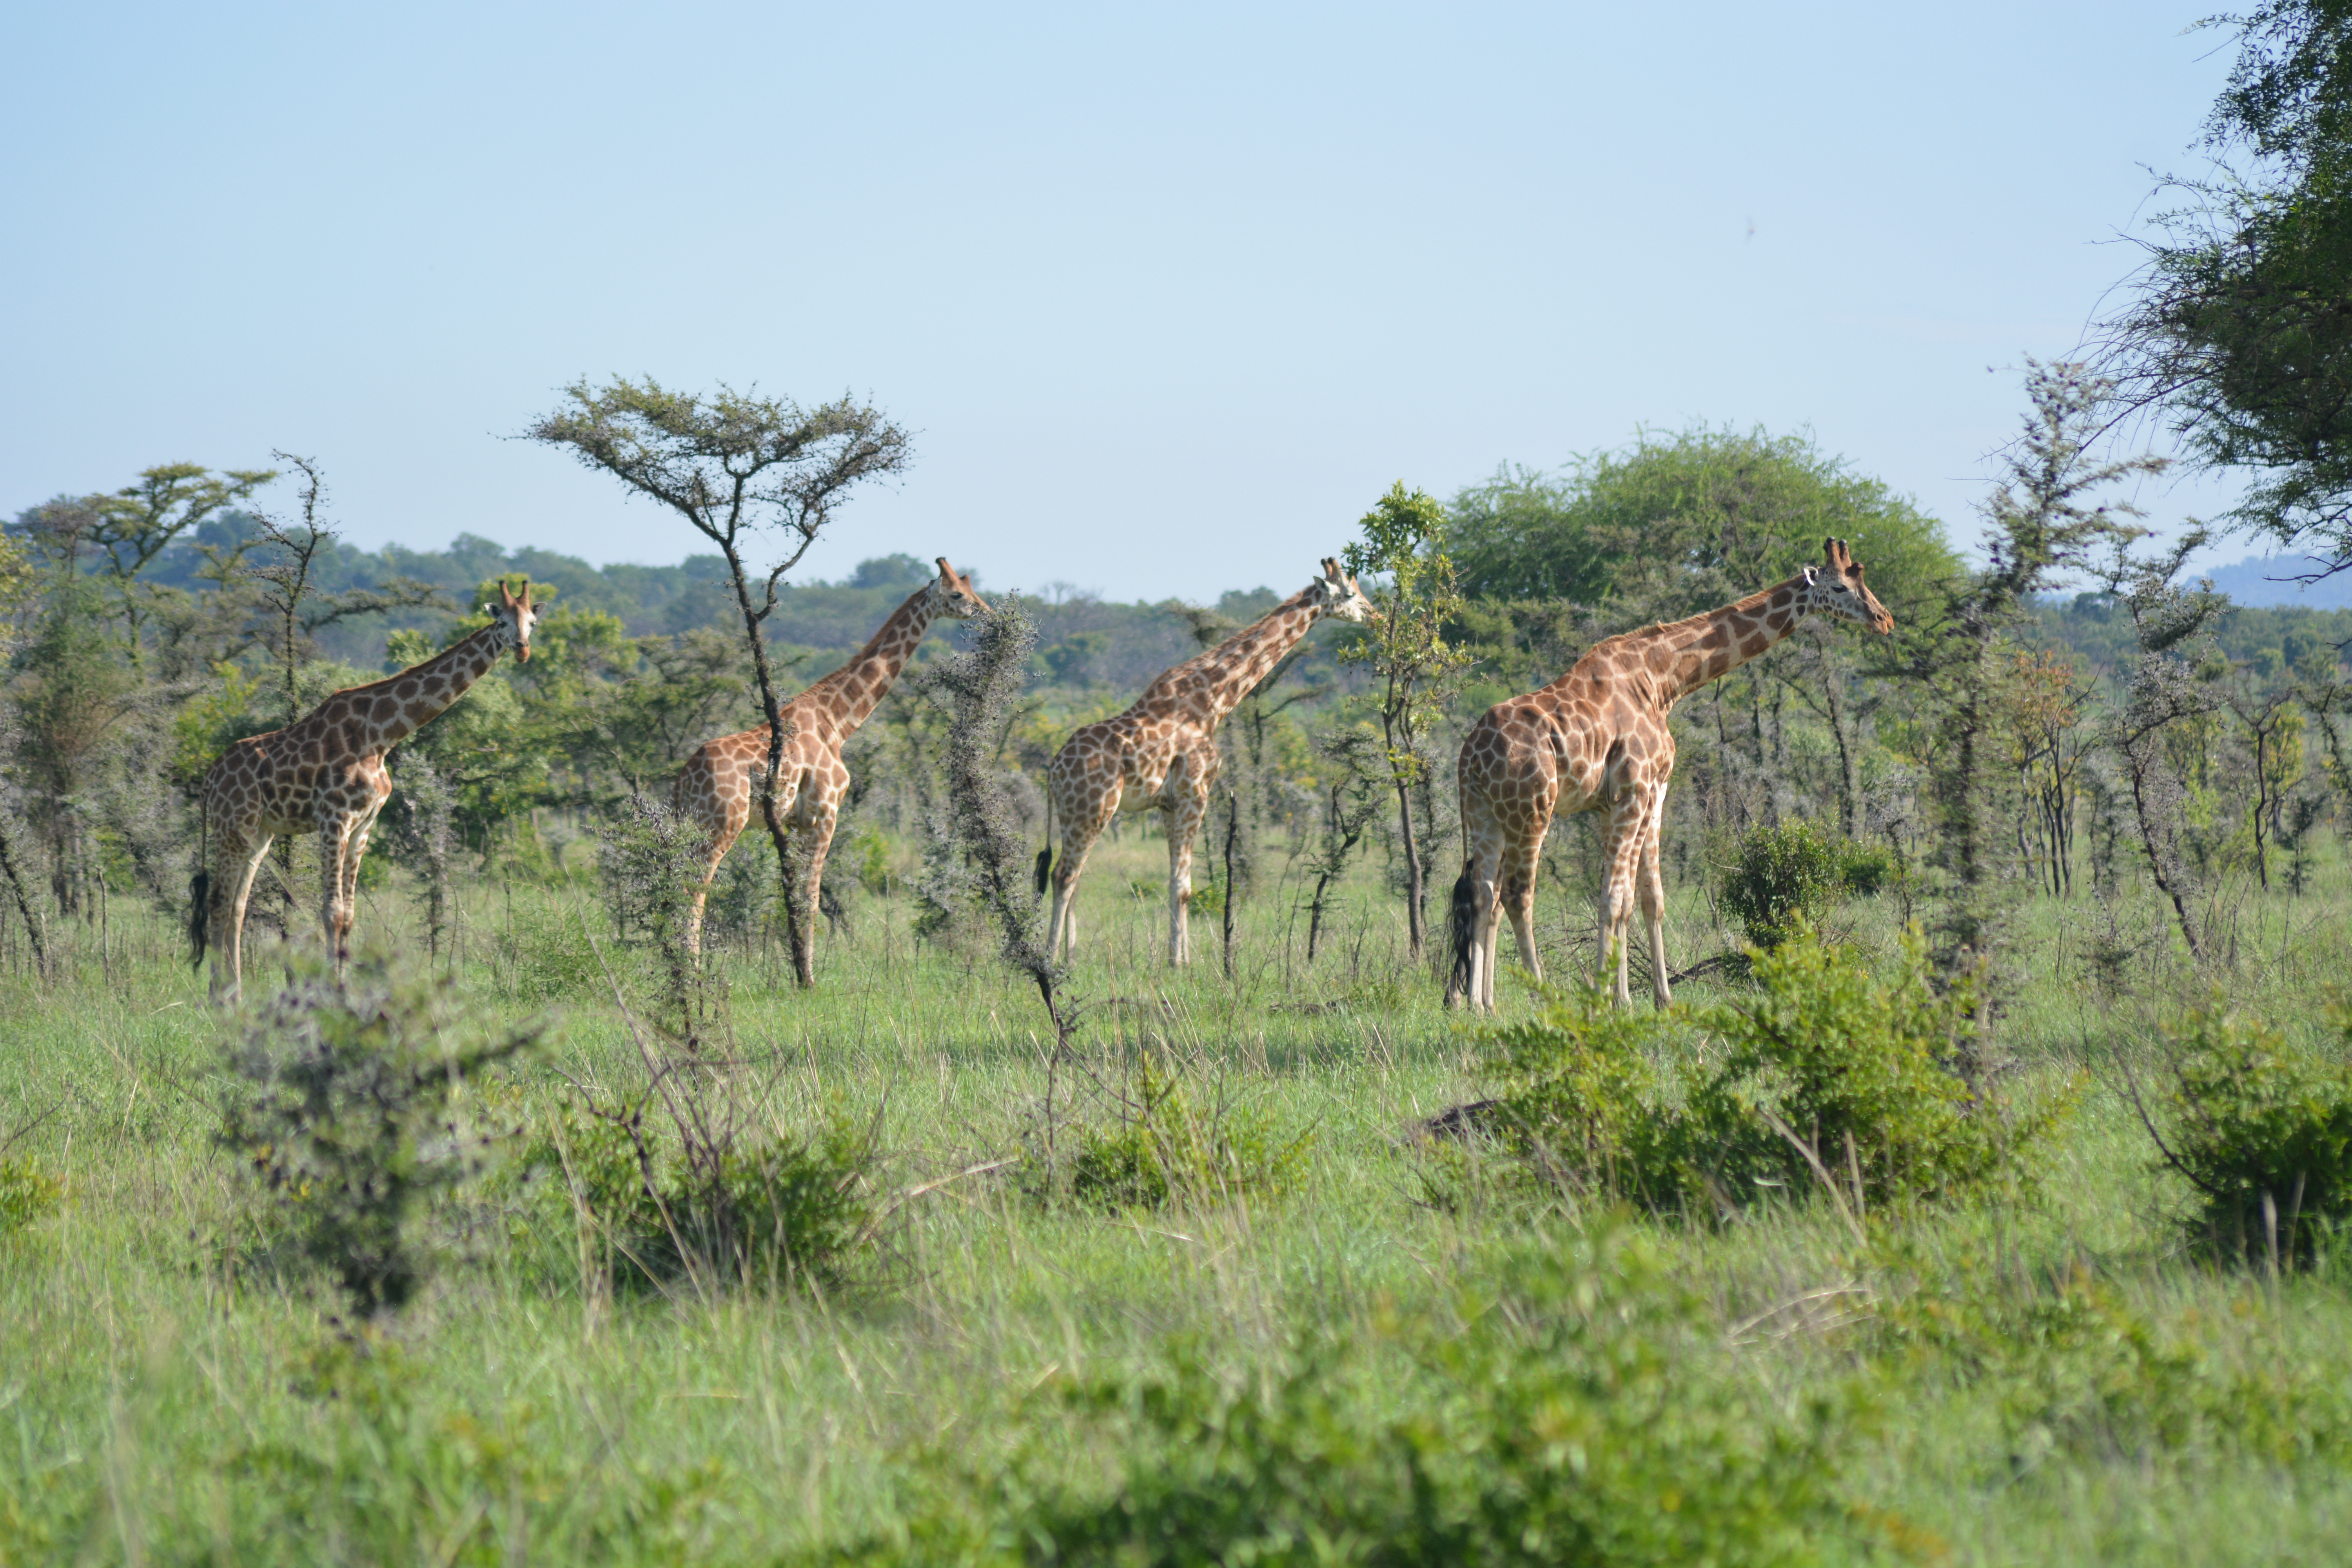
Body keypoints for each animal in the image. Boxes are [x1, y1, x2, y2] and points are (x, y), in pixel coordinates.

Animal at [192, 581, 539, 1003]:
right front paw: (331, 993)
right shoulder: (334, 818)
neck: (382, 736)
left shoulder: (364, 824)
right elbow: (332, 911)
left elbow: (350, 915)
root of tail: (209, 779)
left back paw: (236, 992)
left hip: (258, 834)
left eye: (533, 622)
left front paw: (345, 990)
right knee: (219, 903)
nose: (522, 649)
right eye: (502, 622)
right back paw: (220, 998)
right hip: (232, 827)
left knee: (238, 908)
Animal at [673, 557, 987, 963]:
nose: (986, 612)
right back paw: (692, 968)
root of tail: (683, 781)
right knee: (694, 890)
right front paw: (808, 973)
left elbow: (794, 899)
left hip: (691, 824)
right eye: (958, 594)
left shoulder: (794, 824)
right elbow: (812, 900)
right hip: (722, 824)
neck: (838, 721)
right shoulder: (824, 815)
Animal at [1041, 558, 1372, 965]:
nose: (1374, 614)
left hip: (1076, 814)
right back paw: (1049, 959)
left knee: (1075, 877)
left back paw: (1071, 958)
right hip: (1093, 809)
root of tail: (1054, 771)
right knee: (1064, 875)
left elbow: (1180, 881)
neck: (1214, 702)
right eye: (1351, 594)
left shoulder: (1170, 804)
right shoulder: (1194, 793)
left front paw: (1183, 958)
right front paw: (1177, 963)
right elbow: (1183, 886)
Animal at [1446, 537, 1894, 1013]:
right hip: (1532, 809)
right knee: (1517, 895)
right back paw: (1546, 1000)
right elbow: (1617, 899)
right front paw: (1610, 998)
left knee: (1483, 893)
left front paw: (1652, 998)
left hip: (1486, 814)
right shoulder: (1637, 789)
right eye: (1842, 587)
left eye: (1863, 581)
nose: (1884, 620)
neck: (1662, 681)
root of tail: (1468, 755)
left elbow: (1644, 898)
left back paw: (1480, 1005)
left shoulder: (1638, 797)